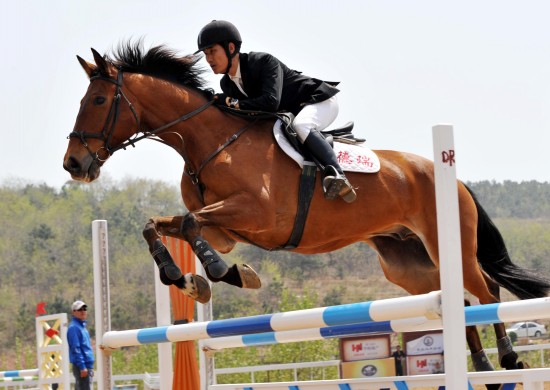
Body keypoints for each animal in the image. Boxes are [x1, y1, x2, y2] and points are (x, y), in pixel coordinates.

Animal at [63, 42, 548, 374]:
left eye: (99, 101)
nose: (74, 164)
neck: (210, 141)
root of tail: (451, 175)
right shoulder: (226, 231)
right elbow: (161, 225)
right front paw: (190, 278)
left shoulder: (256, 216)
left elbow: (186, 221)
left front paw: (220, 274)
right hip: (407, 264)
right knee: (457, 296)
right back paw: (482, 363)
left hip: (449, 244)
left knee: (486, 289)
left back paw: (508, 359)